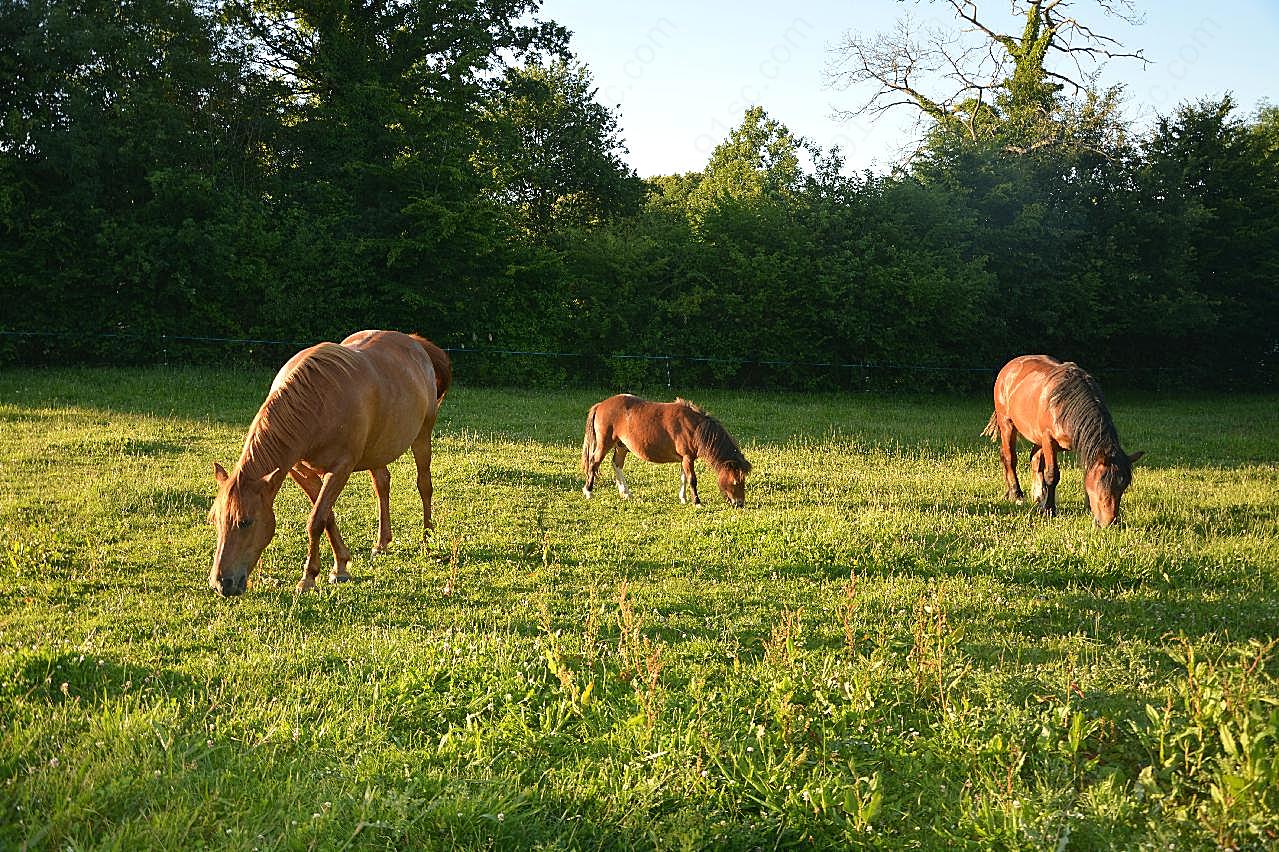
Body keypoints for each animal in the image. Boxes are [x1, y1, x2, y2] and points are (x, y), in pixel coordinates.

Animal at [207, 327, 452, 593]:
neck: (316, 404)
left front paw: (309, 577)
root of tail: (413, 342)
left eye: (245, 522)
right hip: (377, 449)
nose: (222, 584)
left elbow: (316, 520)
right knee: (382, 485)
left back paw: (427, 537)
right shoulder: (300, 470)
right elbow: (327, 515)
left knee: (424, 485)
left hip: (422, 436)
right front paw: (340, 566)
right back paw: (381, 543)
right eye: (215, 520)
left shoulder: (340, 470)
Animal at [580, 394, 746, 504]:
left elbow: (683, 478)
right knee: (594, 463)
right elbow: (692, 480)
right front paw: (697, 502)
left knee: (616, 464)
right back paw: (588, 491)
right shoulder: (688, 458)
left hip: (621, 446)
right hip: (604, 444)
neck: (694, 427)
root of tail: (601, 405)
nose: (739, 503)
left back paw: (625, 493)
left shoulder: (684, 459)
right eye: (736, 482)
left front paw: (683, 498)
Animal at [982, 350, 1145, 524]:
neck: (1064, 402)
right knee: (1009, 458)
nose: (1109, 522)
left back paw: (1037, 495)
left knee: (1033, 459)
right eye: (1102, 482)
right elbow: (1052, 475)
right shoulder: (1048, 440)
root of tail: (1009, 366)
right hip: (1007, 424)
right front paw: (1049, 510)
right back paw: (1016, 494)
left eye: (1123, 486)